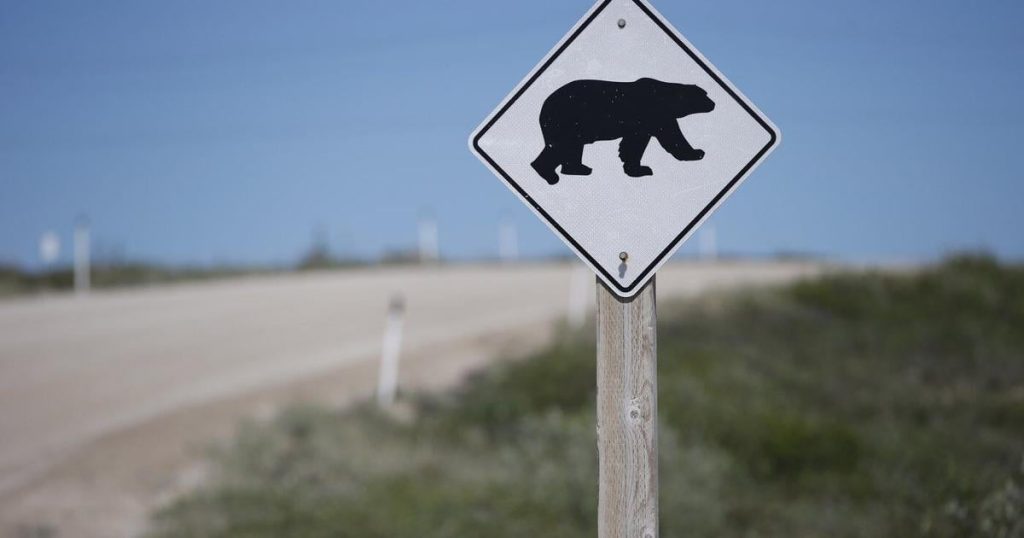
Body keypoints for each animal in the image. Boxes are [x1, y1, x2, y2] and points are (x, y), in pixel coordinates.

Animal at [530, 78, 715, 185]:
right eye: (704, 95)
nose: (713, 103)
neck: (666, 96)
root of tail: (543, 106)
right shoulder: (655, 113)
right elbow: (672, 136)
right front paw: (697, 152)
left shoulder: (642, 124)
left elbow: (633, 143)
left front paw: (637, 168)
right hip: (567, 120)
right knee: (561, 146)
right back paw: (549, 174)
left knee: (571, 148)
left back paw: (579, 169)